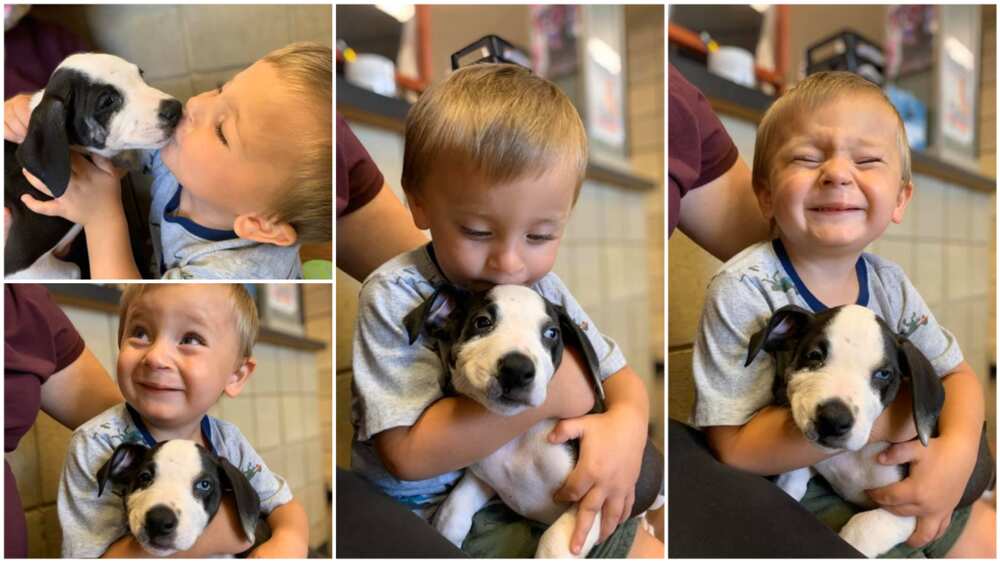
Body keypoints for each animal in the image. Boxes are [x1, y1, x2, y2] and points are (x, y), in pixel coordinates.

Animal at [406, 284, 664, 556]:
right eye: (482, 322)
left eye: (551, 333)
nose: (517, 370)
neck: (520, 438)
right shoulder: (483, 477)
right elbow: (452, 512)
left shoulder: (596, 500)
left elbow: (553, 542)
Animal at [744, 304, 992, 552]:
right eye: (814, 356)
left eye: (883, 374)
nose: (833, 420)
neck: (854, 456)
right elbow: (789, 483)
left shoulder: (912, 509)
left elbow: (861, 529)